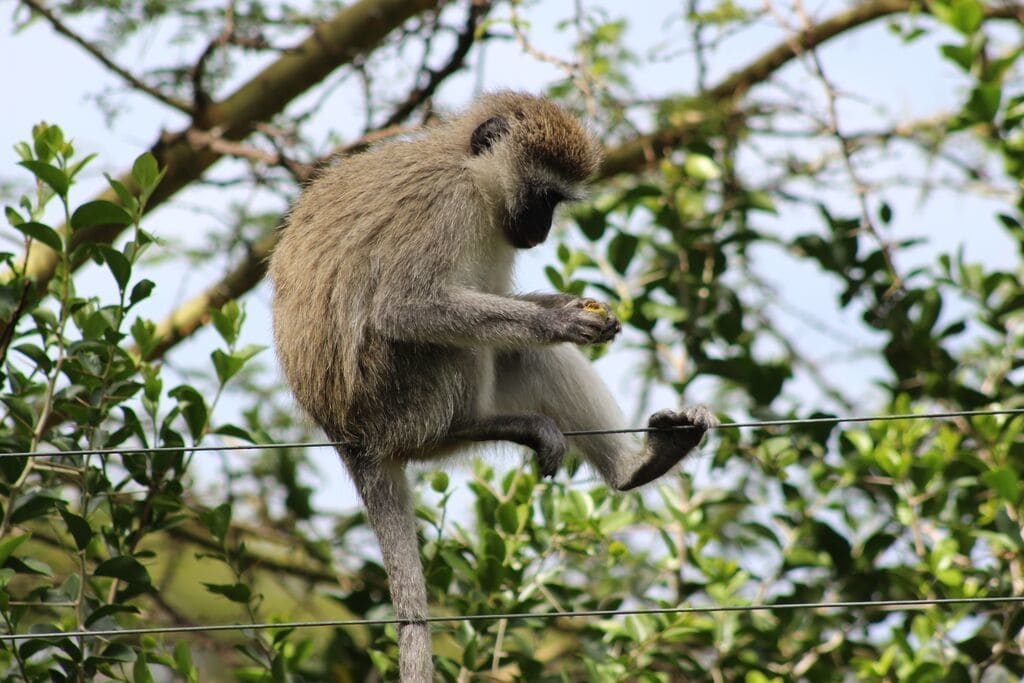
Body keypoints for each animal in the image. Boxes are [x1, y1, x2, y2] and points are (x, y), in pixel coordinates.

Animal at [268, 92, 716, 682]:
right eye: (544, 195)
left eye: (558, 202)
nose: (541, 230)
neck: (471, 174)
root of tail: (350, 438)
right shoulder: (446, 206)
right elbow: (404, 307)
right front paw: (558, 320)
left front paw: (571, 307)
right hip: (401, 399)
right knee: (449, 341)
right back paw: (477, 424)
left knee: (521, 351)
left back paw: (639, 466)